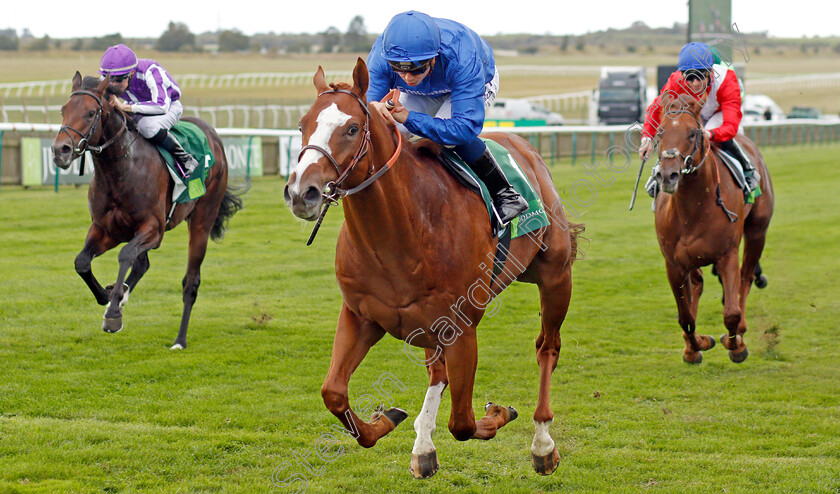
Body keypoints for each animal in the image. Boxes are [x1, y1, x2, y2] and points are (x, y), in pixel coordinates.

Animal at [51, 72, 244, 352]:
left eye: (90, 112)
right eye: (63, 110)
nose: (60, 151)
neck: (122, 168)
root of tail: (213, 135)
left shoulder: (153, 229)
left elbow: (125, 255)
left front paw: (113, 313)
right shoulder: (106, 229)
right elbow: (82, 262)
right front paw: (108, 296)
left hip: (202, 219)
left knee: (191, 281)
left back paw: (179, 340)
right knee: (142, 263)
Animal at [286, 58, 580, 478]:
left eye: (352, 128)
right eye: (302, 125)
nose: (301, 192)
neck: (403, 230)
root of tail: (526, 148)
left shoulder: (462, 328)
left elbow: (464, 423)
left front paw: (498, 412)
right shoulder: (361, 316)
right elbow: (334, 393)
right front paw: (386, 419)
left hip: (555, 277)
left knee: (547, 348)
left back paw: (543, 444)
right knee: (436, 372)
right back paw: (423, 446)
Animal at [656, 93, 776, 362]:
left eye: (693, 133)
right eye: (660, 132)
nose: (668, 175)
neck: (693, 208)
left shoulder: (726, 254)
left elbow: (731, 312)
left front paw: (736, 345)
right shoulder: (674, 264)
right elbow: (686, 317)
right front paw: (694, 348)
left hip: (758, 231)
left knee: (745, 277)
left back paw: (741, 329)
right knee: (698, 284)